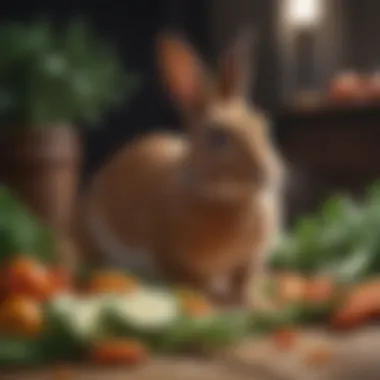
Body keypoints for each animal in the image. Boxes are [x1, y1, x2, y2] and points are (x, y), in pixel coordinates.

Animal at [75, 30, 284, 308]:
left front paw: (255, 303)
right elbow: (196, 282)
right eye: (217, 137)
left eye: (262, 124)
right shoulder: (169, 257)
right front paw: (218, 300)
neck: (227, 199)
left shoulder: (250, 259)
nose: (265, 173)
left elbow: (244, 280)